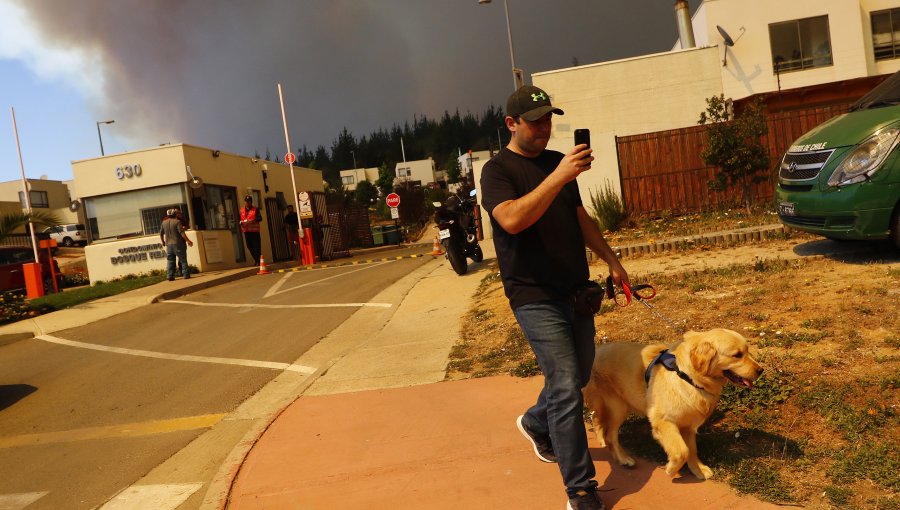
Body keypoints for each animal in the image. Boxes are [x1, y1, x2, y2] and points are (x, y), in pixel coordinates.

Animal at [580, 328, 764, 480]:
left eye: (747, 351)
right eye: (737, 355)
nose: (761, 370)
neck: (687, 376)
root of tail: (597, 350)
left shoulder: (688, 425)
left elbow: (692, 450)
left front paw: (698, 469)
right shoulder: (663, 422)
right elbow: (682, 451)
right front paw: (671, 469)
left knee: (598, 421)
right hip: (618, 407)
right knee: (610, 434)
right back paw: (623, 458)